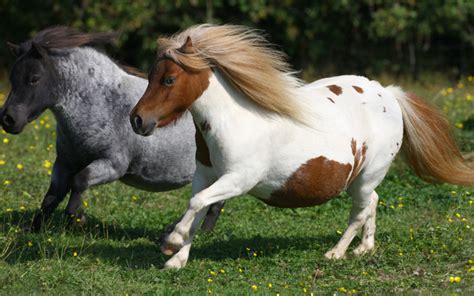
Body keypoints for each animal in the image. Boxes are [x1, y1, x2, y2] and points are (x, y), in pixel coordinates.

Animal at [0, 27, 223, 231]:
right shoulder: (64, 163)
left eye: (34, 78)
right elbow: (52, 196)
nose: (8, 120)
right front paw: (34, 229)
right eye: (12, 79)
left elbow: (79, 182)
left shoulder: (113, 165)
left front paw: (77, 217)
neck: (102, 105)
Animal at [129, 24, 474, 270]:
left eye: (169, 80)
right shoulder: (206, 177)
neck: (235, 120)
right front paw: (176, 258)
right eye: (151, 76)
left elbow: (197, 204)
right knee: (372, 203)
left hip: (368, 175)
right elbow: (197, 209)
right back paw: (364, 249)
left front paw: (172, 242)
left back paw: (335, 253)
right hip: (360, 179)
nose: (137, 120)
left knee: (360, 211)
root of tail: (388, 93)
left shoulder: (238, 180)